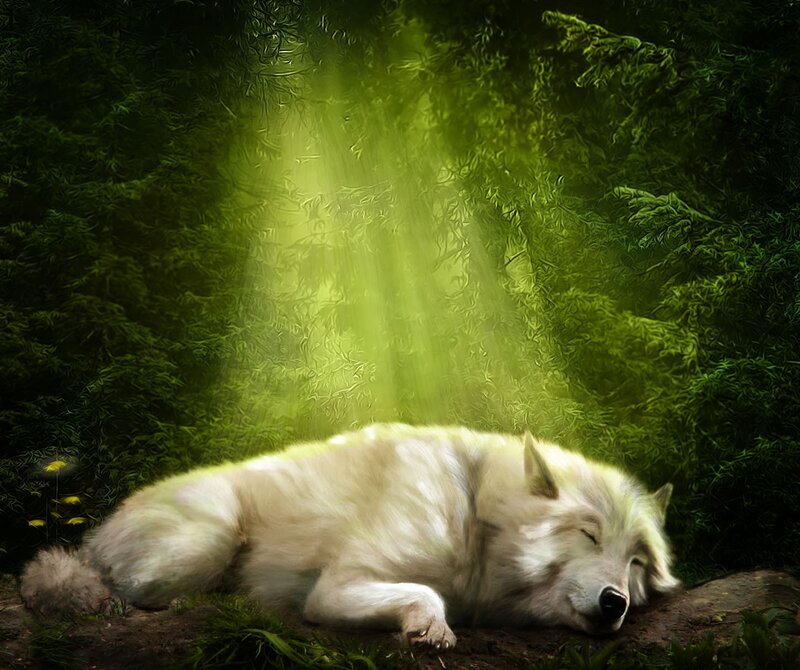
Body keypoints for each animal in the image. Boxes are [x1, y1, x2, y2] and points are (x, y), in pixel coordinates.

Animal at [21, 425, 679, 648]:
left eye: (637, 562)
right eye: (588, 535)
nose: (616, 603)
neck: (474, 516)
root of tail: (97, 531)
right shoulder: (336, 588)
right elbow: (425, 594)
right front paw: (431, 628)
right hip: (205, 542)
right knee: (124, 588)